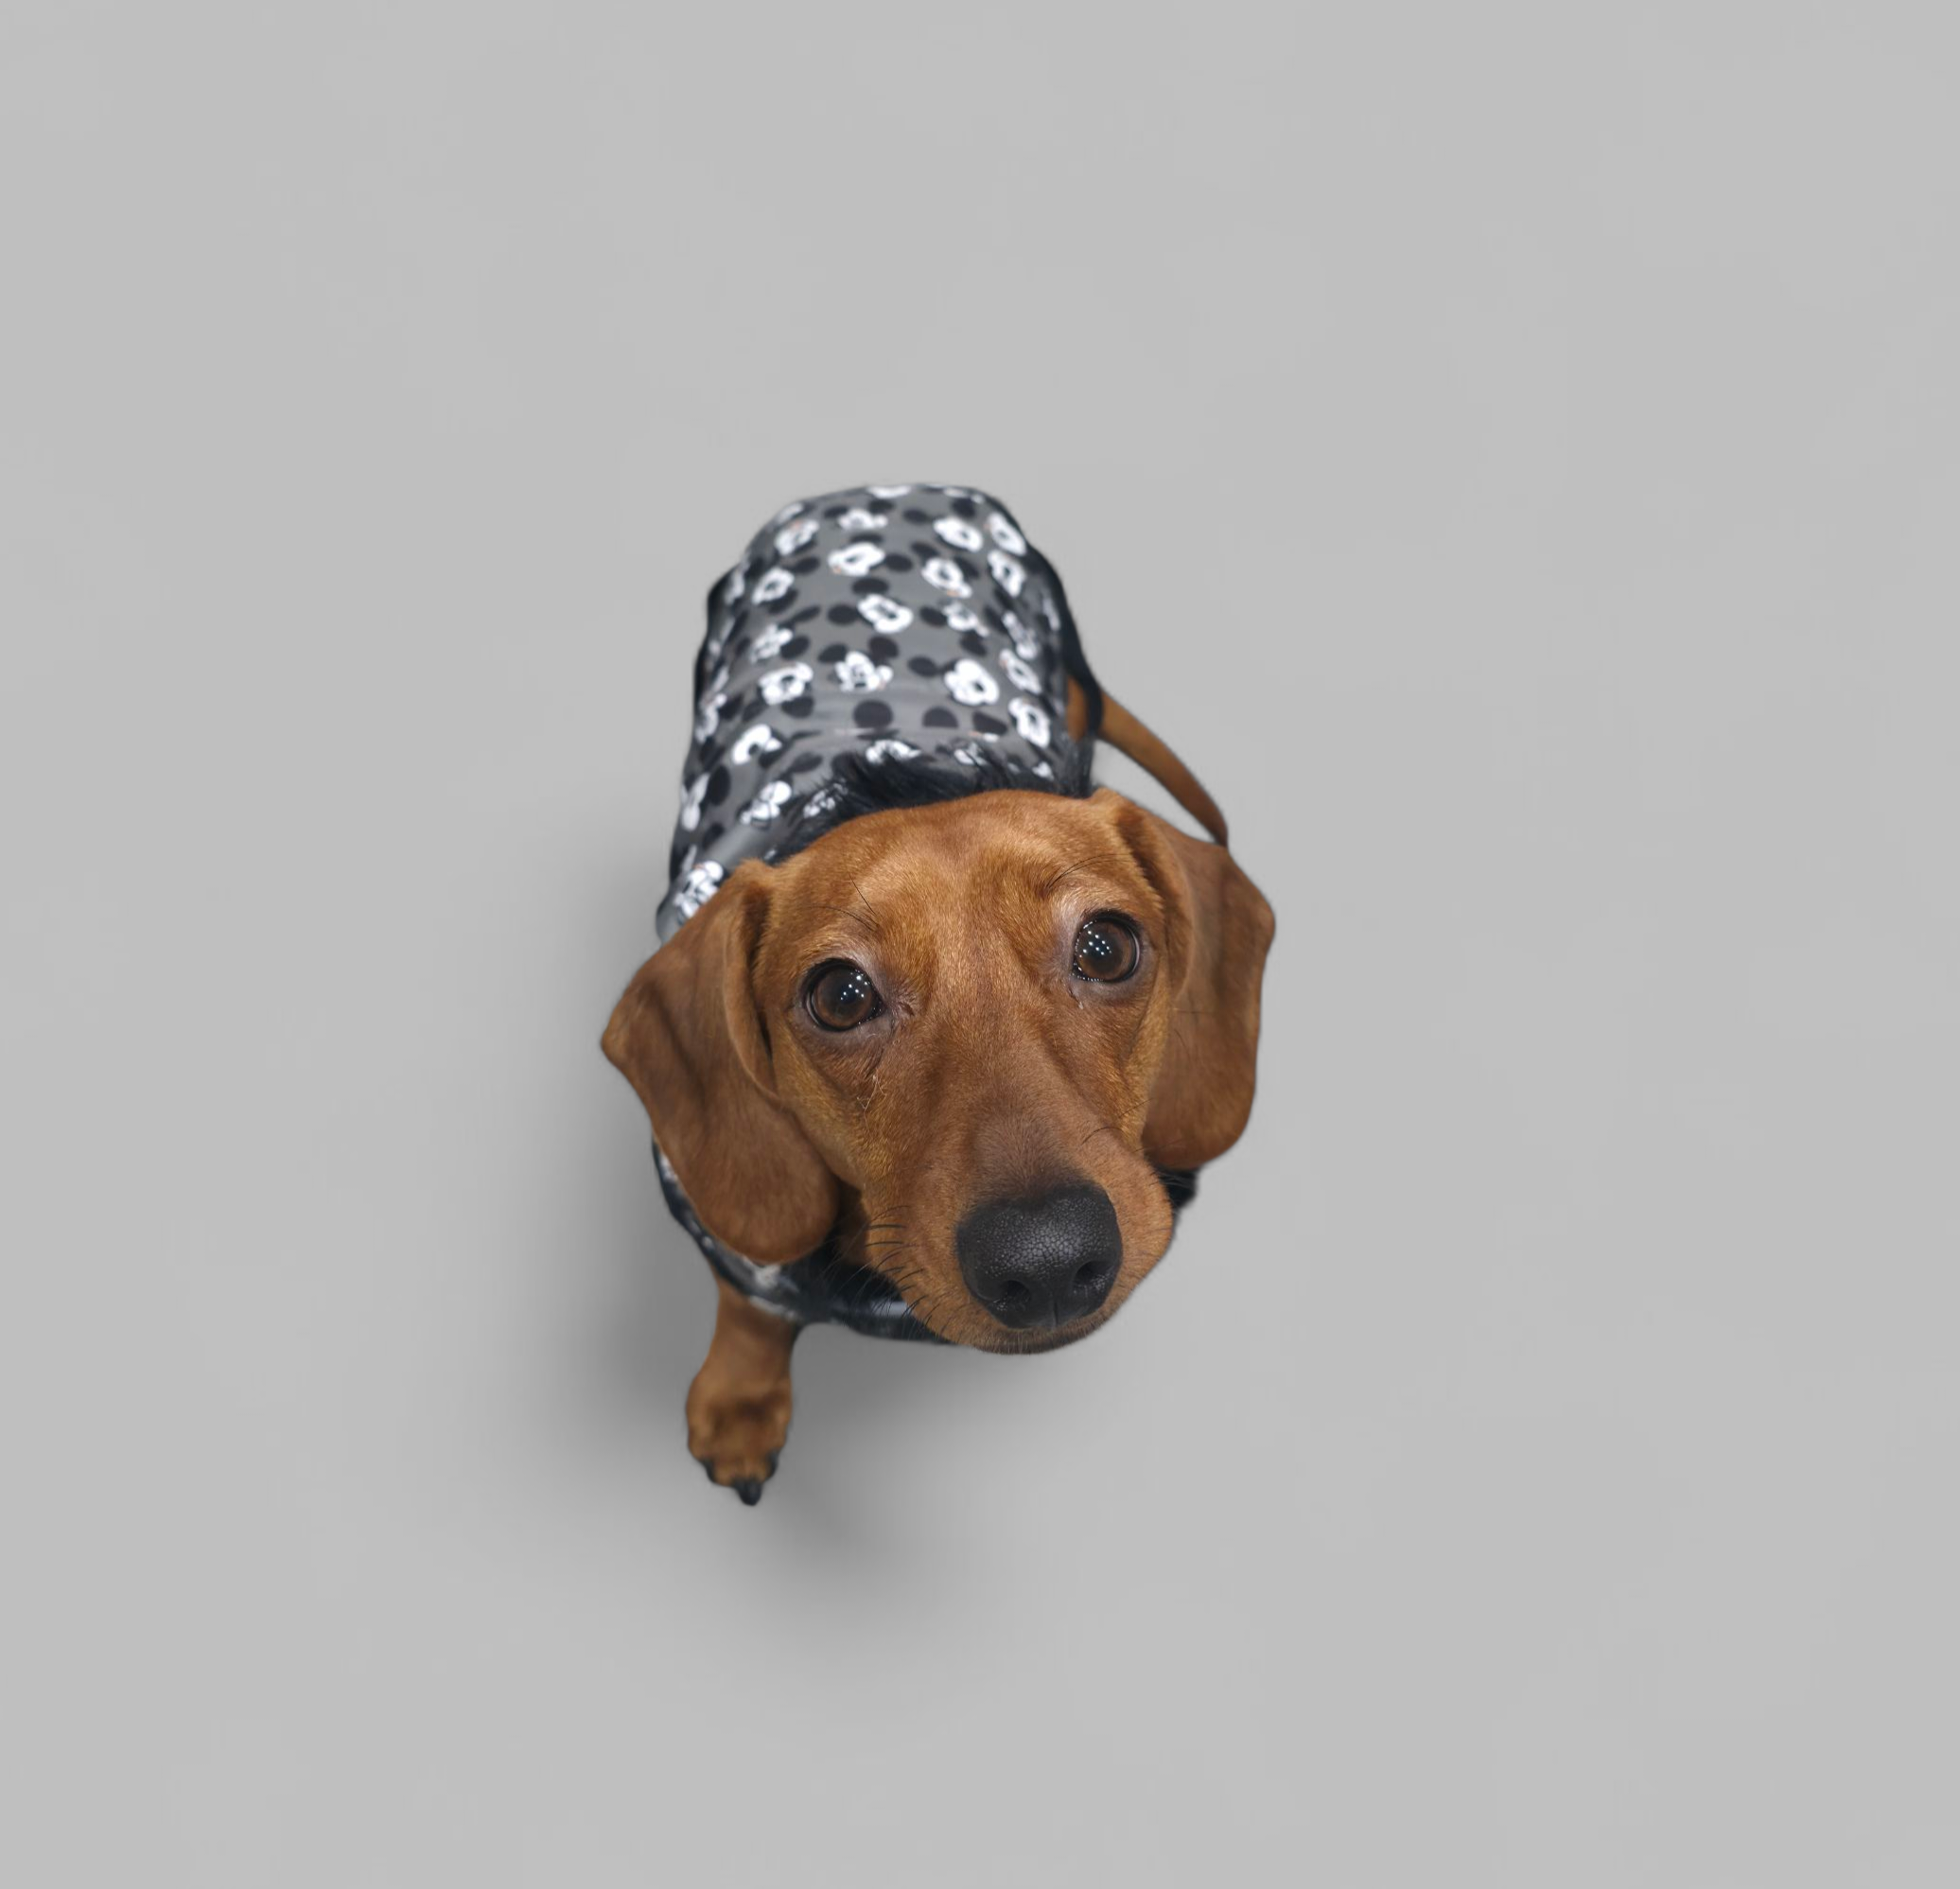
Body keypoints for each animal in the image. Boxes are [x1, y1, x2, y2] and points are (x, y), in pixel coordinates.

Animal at [604, 484, 1274, 1502]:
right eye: (839, 995)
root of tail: (878, 488)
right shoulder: (735, 1246)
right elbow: (750, 1310)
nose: (1048, 1261)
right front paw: (740, 1400)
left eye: (1106, 945)